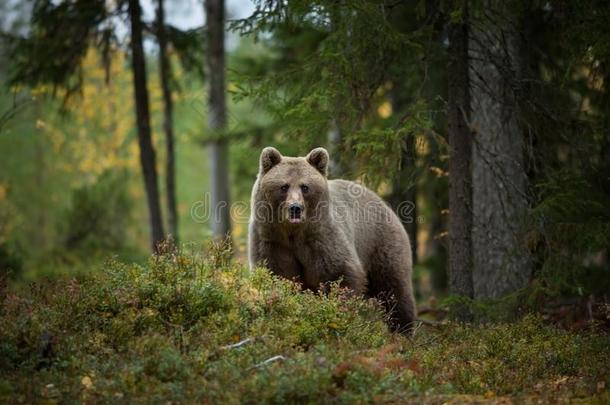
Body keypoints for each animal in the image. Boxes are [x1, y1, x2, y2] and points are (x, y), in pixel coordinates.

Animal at [246, 146, 414, 332]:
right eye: (284, 186)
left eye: (305, 187)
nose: (295, 208)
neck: (293, 233)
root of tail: (383, 202)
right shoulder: (271, 241)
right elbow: (278, 274)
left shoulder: (321, 238)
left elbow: (339, 274)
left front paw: (339, 314)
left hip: (381, 244)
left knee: (394, 290)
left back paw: (402, 330)